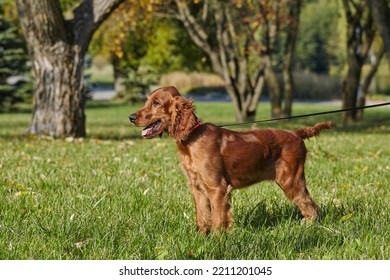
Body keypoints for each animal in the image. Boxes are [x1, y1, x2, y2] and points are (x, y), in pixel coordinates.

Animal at [129, 86, 330, 233]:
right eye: (147, 101)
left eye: (156, 103)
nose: (131, 117)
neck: (191, 138)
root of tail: (295, 132)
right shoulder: (197, 187)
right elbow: (202, 217)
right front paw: (201, 238)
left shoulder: (217, 187)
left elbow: (218, 219)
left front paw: (216, 242)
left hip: (290, 179)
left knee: (312, 207)